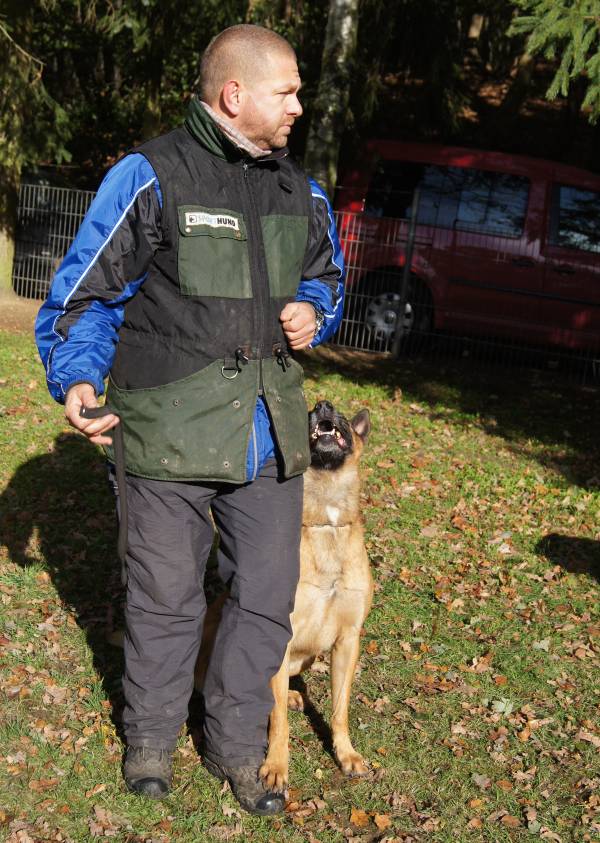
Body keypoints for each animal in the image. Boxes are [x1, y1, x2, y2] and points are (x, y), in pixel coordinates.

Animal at [195, 399, 373, 790]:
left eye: (340, 415)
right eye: (309, 411)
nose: (323, 405)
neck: (325, 522)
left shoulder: (348, 640)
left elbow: (340, 709)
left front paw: (346, 754)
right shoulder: (279, 634)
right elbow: (278, 722)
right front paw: (276, 765)